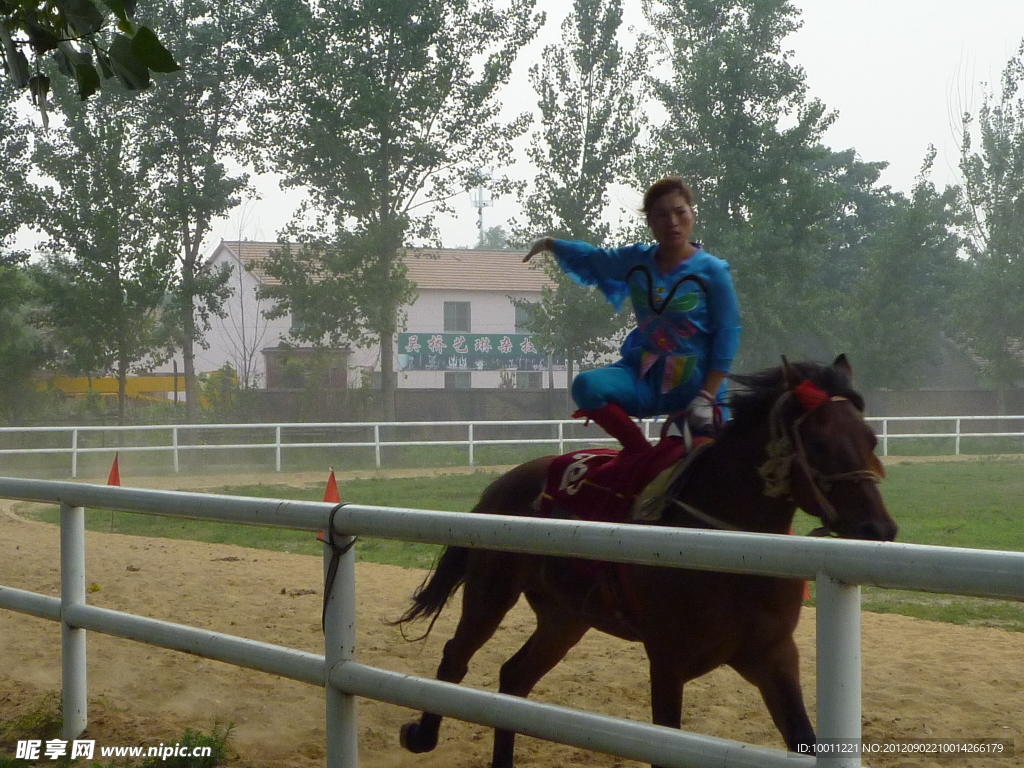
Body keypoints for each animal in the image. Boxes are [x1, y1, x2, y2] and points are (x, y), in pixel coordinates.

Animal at [391, 358, 897, 765]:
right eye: (819, 442)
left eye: (871, 437)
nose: (880, 529)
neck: (732, 554)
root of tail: (500, 485)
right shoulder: (669, 661)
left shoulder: (773, 657)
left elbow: (803, 739)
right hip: (491, 592)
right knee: (456, 657)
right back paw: (422, 734)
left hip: (565, 617)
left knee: (514, 680)